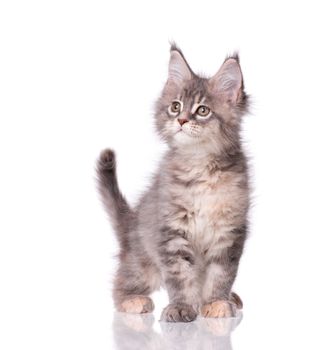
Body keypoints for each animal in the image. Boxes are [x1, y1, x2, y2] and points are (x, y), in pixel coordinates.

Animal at [97, 43, 250, 322]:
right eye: (175, 106)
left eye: (202, 110)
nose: (181, 121)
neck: (200, 165)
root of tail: (130, 225)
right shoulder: (172, 230)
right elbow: (179, 275)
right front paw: (181, 307)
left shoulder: (229, 231)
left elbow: (221, 274)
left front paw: (216, 302)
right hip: (142, 263)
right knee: (120, 284)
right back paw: (133, 300)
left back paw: (228, 298)